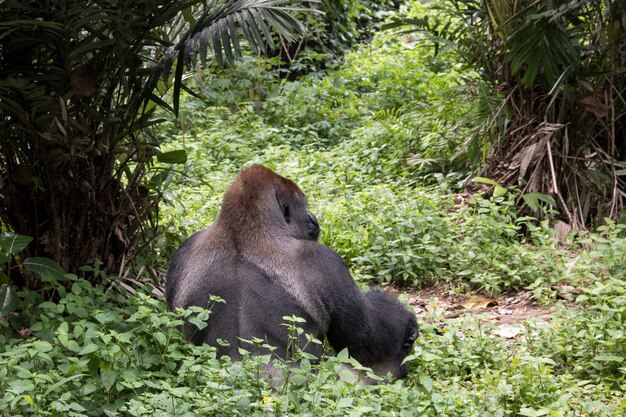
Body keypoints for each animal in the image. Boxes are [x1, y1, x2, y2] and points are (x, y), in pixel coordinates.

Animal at [166, 164, 416, 378]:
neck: (242, 227)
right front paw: (406, 324)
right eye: (303, 207)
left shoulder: (184, 247)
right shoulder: (325, 260)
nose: (312, 217)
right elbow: (363, 341)